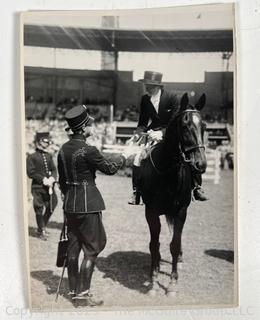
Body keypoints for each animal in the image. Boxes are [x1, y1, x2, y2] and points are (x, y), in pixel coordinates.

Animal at [139, 92, 206, 296]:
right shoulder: (151, 212)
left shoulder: (181, 211)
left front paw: (172, 283)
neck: (168, 170)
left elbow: (175, 244)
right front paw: (153, 280)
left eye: (204, 126)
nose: (201, 164)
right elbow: (154, 244)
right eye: (184, 126)